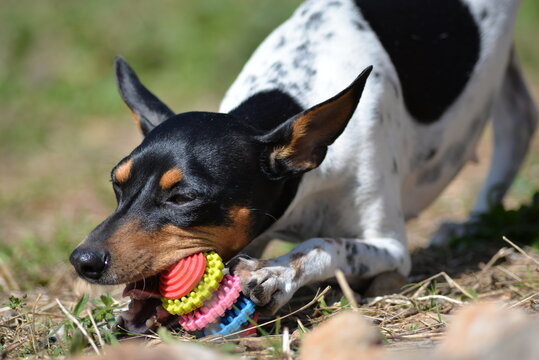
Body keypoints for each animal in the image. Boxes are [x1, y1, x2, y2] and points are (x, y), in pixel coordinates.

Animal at [69, 0, 536, 334]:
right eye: (117, 184)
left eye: (183, 197)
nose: (82, 260)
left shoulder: (390, 247)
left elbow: (323, 245)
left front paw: (276, 273)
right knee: (518, 117)